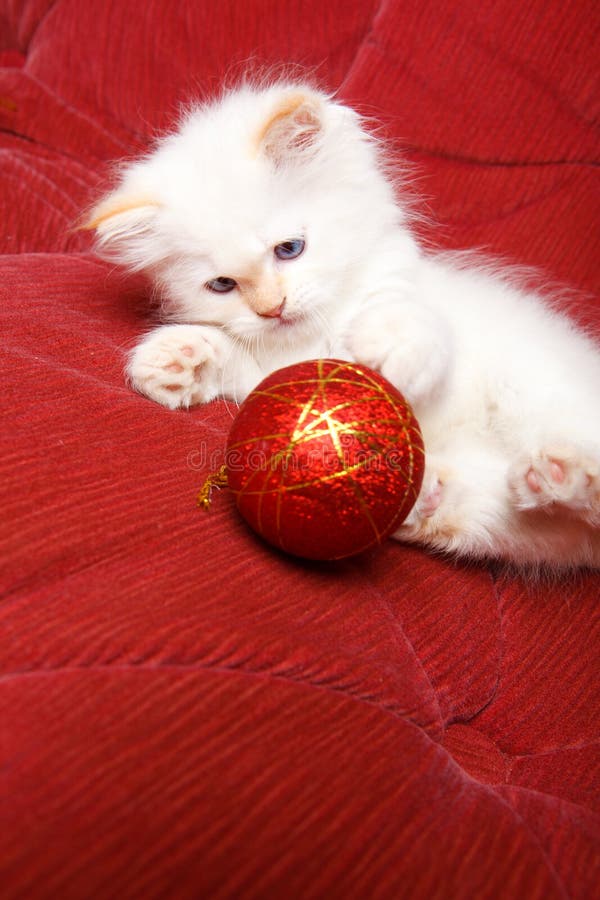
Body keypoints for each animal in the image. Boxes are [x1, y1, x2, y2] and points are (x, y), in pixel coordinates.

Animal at [86, 77, 600, 568]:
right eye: (223, 285)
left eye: (289, 249)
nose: (272, 307)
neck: (320, 334)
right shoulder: (272, 377)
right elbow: (237, 364)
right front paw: (177, 359)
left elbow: (421, 335)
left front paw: (387, 341)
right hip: (501, 515)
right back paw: (460, 493)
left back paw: (564, 469)